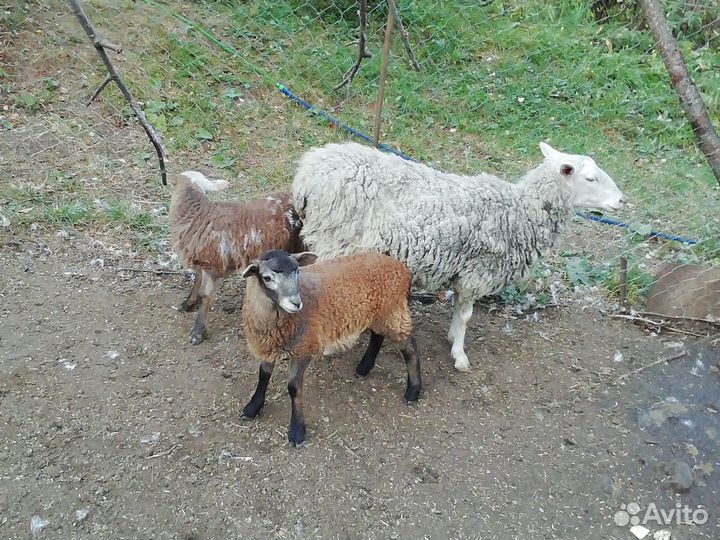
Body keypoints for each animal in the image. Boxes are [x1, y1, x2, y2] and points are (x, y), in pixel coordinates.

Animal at [168, 171, 303, 344]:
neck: (198, 214)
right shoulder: (203, 261)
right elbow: (196, 282)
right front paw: (188, 304)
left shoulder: (213, 265)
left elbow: (204, 295)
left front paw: (198, 333)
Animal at [240, 249, 422, 447]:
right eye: (267, 278)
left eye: (297, 272)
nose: (296, 303)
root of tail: (403, 269)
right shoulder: (268, 344)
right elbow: (263, 375)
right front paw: (252, 408)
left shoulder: (303, 348)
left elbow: (294, 388)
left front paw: (297, 431)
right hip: (379, 312)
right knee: (377, 336)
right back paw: (364, 367)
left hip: (393, 312)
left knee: (410, 348)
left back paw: (413, 391)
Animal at [293, 141, 625, 372]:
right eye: (591, 179)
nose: (622, 200)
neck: (521, 211)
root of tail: (306, 174)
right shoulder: (479, 269)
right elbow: (466, 315)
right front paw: (460, 356)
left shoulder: (464, 270)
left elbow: (458, 310)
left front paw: (453, 338)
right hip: (335, 240)